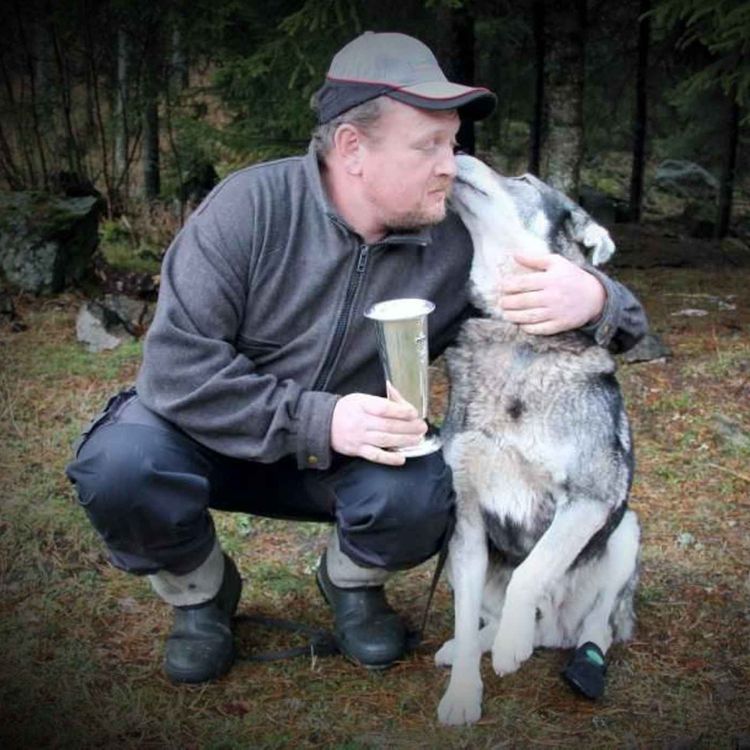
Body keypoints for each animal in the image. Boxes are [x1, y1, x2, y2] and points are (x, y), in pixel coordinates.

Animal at [438, 157, 644, 728]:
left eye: (525, 180)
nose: (459, 150)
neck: (514, 334)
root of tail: (554, 630)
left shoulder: (589, 501)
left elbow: (531, 573)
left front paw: (512, 643)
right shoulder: (465, 521)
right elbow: (467, 623)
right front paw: (462, 694)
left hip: (626, 533)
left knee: (594, 627)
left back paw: (563, 652)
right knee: (487, 620)